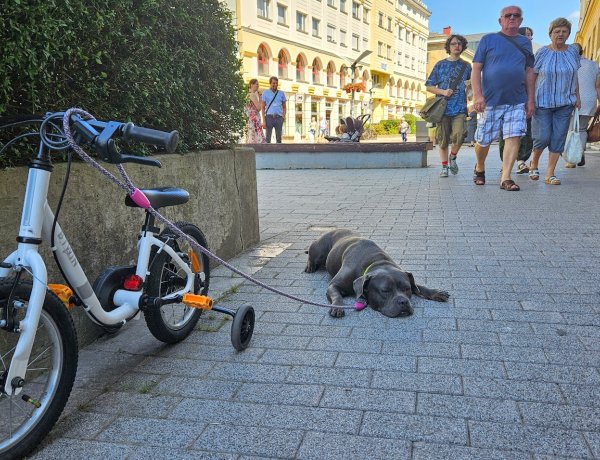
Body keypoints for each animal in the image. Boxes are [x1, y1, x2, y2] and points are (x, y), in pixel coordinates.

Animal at [304, 229, 450, 318]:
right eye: (385, 291)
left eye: (407, 289)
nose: (403, 301)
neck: (377, 262)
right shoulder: (333, 285)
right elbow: (336, 294)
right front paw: (338, 306)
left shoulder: (407, 276)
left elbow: (418, 286)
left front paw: (435, 292)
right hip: (319, 251)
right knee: (311, 253)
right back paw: (310, 266)